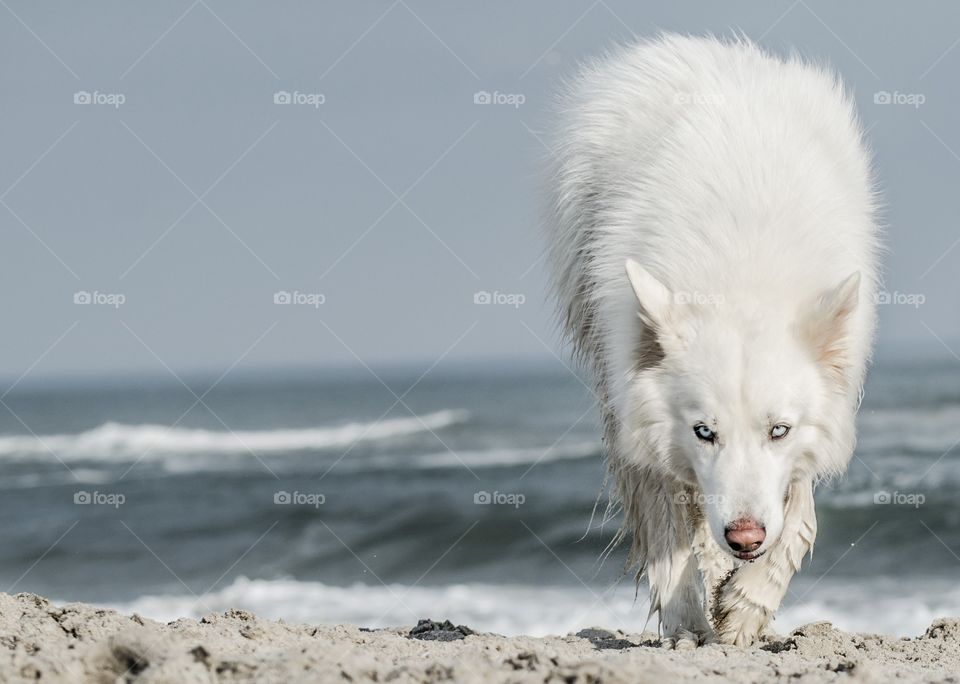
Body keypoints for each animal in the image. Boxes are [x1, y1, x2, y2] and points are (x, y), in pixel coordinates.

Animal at [544, 36, 880, 648]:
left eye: (779, 430)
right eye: (704, 431)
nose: (745, 537)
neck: (740, 279)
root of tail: (691, 45)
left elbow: (799, 514)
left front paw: (749, 604)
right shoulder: (643, 423)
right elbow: (667, 528)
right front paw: (688, 626)